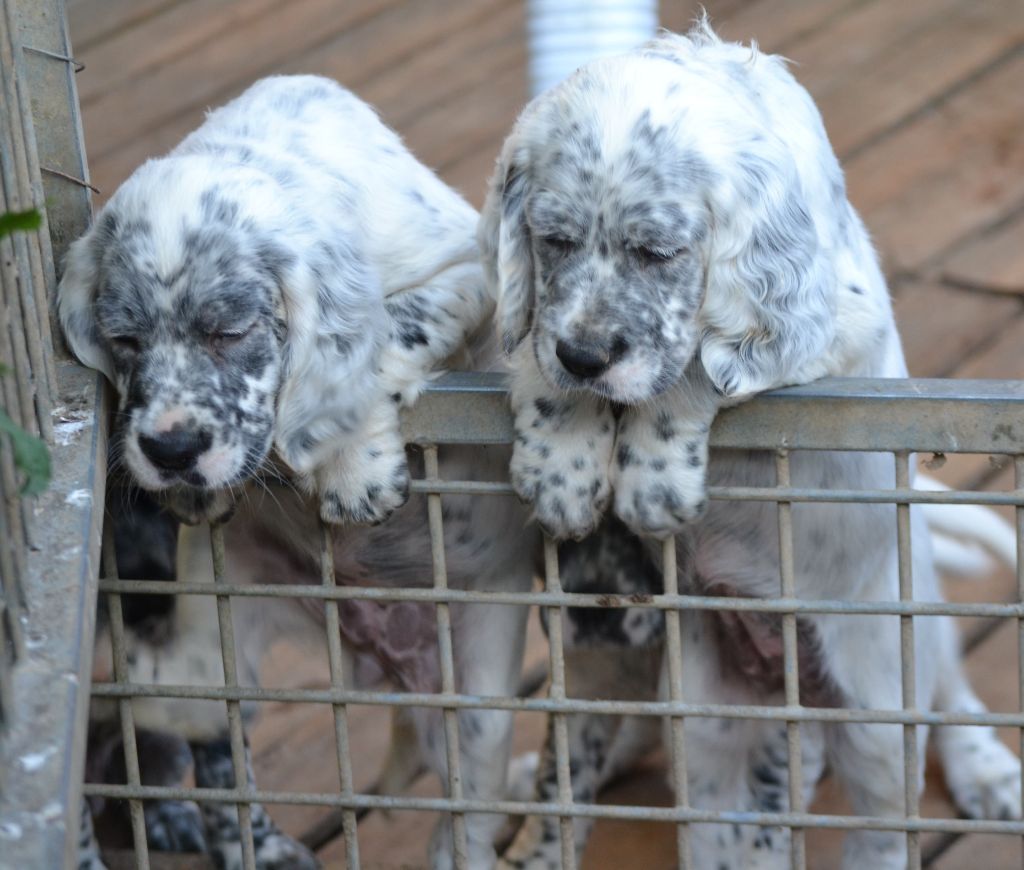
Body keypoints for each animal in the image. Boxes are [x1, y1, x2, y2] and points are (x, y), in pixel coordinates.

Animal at [61, 74, 536, 867]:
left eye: (229, 332)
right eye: (123, 340)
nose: (170, 451)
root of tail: (380, 660)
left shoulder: (471, 275)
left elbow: (387, 328)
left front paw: (353, 470)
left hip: (477, 704)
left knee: (463, 812)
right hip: (221, 642)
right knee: (194, 723)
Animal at [481, 22, 1024, 867]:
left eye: (657, 252)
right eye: (554, 240)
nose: (588, 357)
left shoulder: (828, 327)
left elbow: (697, 366)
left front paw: (652, 477)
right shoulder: (546, 325)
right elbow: (539, 349)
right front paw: (561, 463)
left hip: (881, 704)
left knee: (907, 776)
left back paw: (982, 770)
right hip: (705, 724)